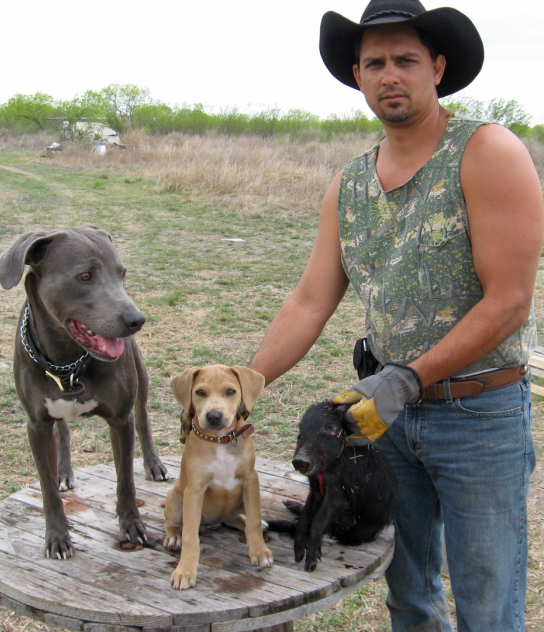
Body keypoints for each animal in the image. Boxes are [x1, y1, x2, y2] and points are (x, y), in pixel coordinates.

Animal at [0, 226, 168, 556]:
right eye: (85, 276)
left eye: (122, 273)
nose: (136, 320)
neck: (67, 360)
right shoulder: (36, 425)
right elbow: (47, 487)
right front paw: (56, 536)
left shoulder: (121, 420)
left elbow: (125, 480)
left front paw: (132, 525)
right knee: (63, 431)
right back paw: (64, 471)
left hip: (140, 378)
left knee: (143, 418)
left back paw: (153, 464)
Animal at [162, 362, 272, 592]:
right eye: (199, 392)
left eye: (230, 391)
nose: (214, 417)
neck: (221, 440)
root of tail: (211, 522)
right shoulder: (194, 490)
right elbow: (190, 537)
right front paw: (185, 571)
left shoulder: (250, 480)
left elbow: (253, 522)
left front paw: (259, 552)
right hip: (175, 498)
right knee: (174, 523)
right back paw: (173, 538)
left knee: (234, 518)